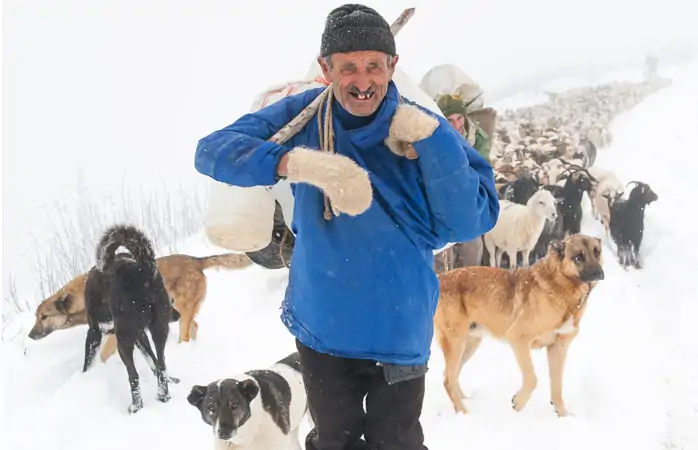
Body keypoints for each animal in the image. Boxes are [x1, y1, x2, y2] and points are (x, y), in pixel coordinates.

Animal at [29, 253, 253, 362]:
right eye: (37, 316)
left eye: (44, 316)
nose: (30, 335)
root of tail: (196, 260)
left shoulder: (117, 331)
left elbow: (103, 355)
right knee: (194, 326)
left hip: (180, 307)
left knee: (186, 331)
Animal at [436, 234, 604, 416]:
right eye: (578, 256)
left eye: (597, 252)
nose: (599, 273)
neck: (560, 287)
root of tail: (441, 278)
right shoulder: (518, 339)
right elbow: (532, 379)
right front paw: (518, 402)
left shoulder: (558, 348)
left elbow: (557, 386)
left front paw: (562, 415)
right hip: (456, 341)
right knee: (447, 379)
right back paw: (465, 413)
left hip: (470, 343)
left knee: (451, 375)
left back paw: (466, 402)